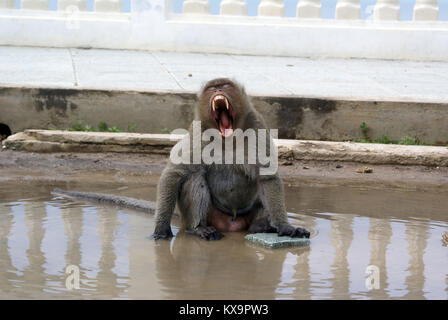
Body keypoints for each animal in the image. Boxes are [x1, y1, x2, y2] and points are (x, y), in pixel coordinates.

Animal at [152, 79, 310, 241]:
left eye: (225, 86)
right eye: (212, 88)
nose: (218, 90)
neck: (227, 139)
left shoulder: (256, 124)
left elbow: (268, 178)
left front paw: (284, 226)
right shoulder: (197, 131)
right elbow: (174, 173)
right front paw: (161, 228)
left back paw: (262, 226)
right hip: (210, 217)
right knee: (194, 178)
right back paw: (198, 228)